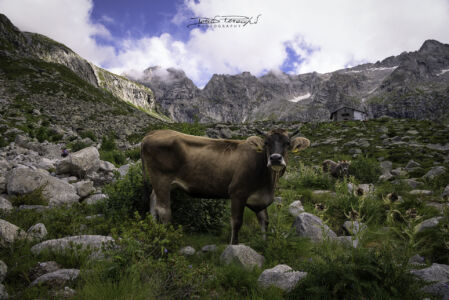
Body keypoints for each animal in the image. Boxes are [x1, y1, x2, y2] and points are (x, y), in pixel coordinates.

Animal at [142, 128, 310, 244]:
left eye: (287, 143)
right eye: (266, 143)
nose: (275, 158)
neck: (268, 183)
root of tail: (152, 134)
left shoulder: (260, 198)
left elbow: (264, 221)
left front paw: (264, 244)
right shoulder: (237, 193)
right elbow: (236, 222)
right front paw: (234, 247)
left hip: (164, 182)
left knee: (152, 201)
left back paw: (153, 229)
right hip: (161, 178)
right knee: (164, 210)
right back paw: (168, 237)